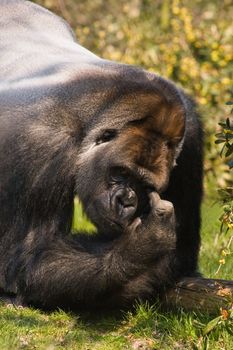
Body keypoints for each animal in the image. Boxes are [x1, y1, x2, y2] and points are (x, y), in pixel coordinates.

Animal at [0, 0, 203, 312]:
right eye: (119, 173)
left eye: (144, 186)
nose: (126, 203)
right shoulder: (38, 140)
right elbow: (29, 258)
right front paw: (143, 244)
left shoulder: (190, 139)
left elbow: (181, 254)